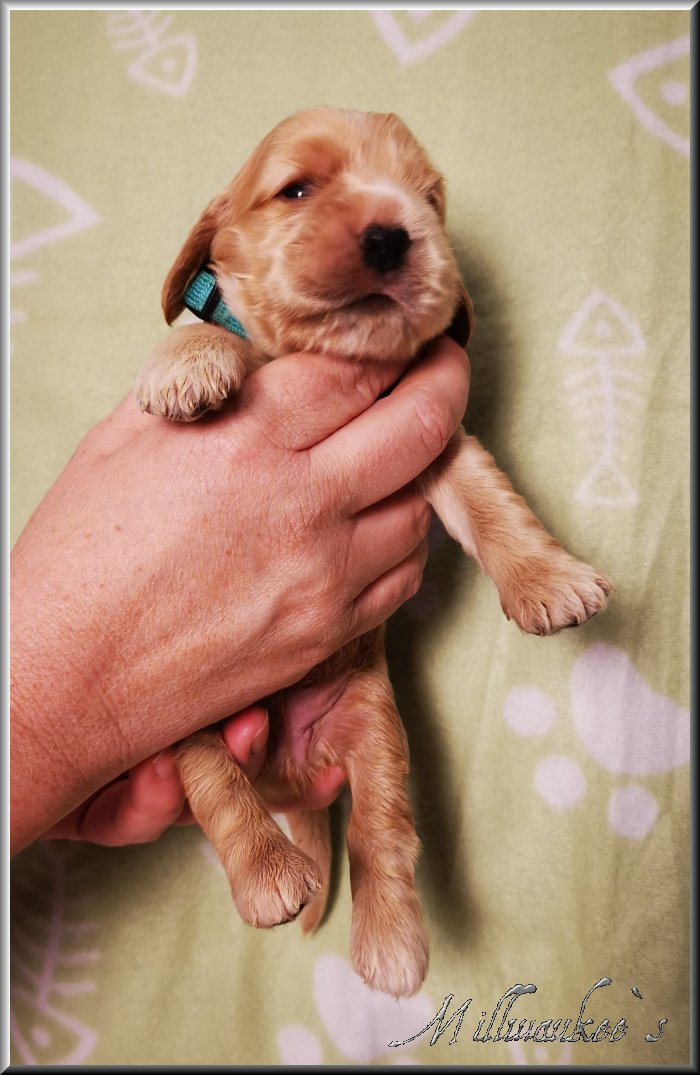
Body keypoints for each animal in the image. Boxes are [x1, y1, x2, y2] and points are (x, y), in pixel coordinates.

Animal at [135, 107, 611, 998]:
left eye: (428, 200)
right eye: (296, 189)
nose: (395, 233)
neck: (322, 358)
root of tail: (292, 772)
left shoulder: (434, 439)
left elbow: (491, 501)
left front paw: (549, 578)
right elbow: (210, 339)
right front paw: (188, 367)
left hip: (376, 727)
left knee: (379, 832)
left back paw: (390, 946)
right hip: (182, 714)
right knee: (219, 784)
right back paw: (270, 873)